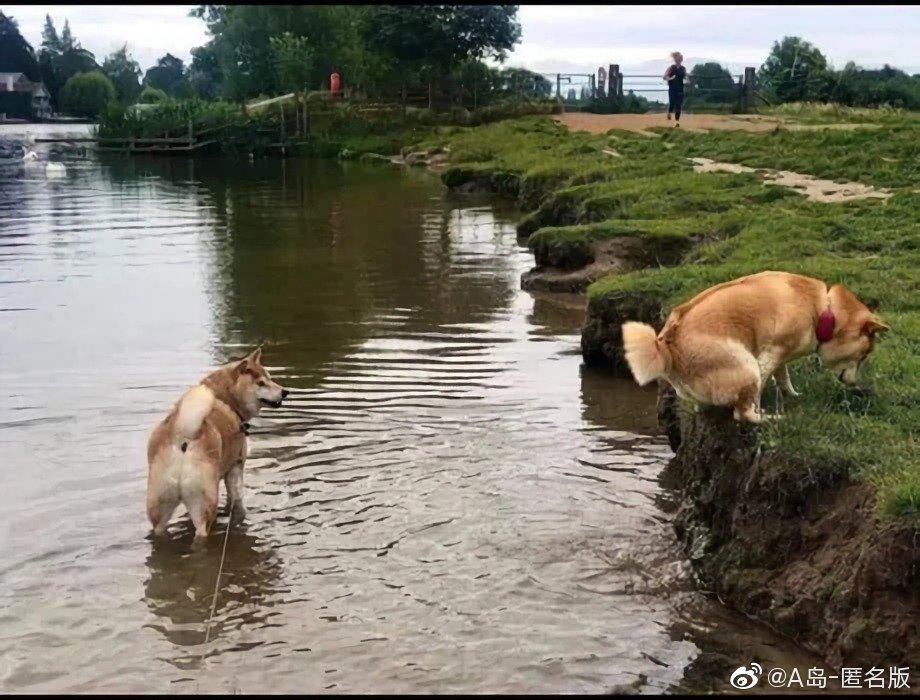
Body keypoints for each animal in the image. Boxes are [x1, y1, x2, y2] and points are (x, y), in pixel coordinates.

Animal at [146, 348, 290, 548]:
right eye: (261, 383)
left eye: (269, 377)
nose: (285, 392)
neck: (225, 399)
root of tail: (182, 437)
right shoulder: (236, 466)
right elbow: (236, 497)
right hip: (204, 503)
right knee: (201, 532)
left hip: (160, 507)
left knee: (159, 531)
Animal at [620, 270, 888, 424]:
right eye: (864, 355)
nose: (854, 383)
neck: (823, 310)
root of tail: (667, 345)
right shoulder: (769, 355)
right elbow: (763, 384)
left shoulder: (782, 354)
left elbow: (783, 377)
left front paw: (792, 395)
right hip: (746, 366)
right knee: (743, 414)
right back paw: (768, 418)